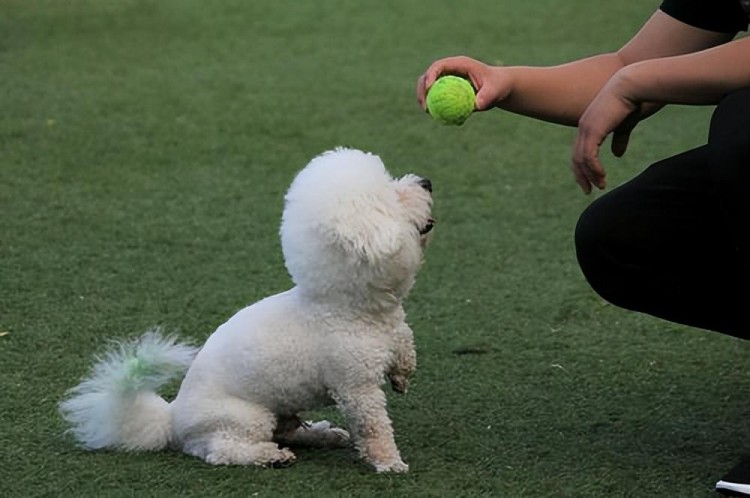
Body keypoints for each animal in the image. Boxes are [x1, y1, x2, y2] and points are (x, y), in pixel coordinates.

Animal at [61, 147, 438, 470]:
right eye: (394, 196)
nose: (426, 181)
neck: (352, 306)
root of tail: (172, 418)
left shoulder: (396, 331)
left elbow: (406, 346)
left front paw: (402, 376)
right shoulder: (356, 387)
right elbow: (374, 428)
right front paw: (389, 463)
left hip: (281, 407)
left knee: (287, 430)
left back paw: (322, 434)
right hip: (244, 418)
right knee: (221, 451)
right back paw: (271, 456)